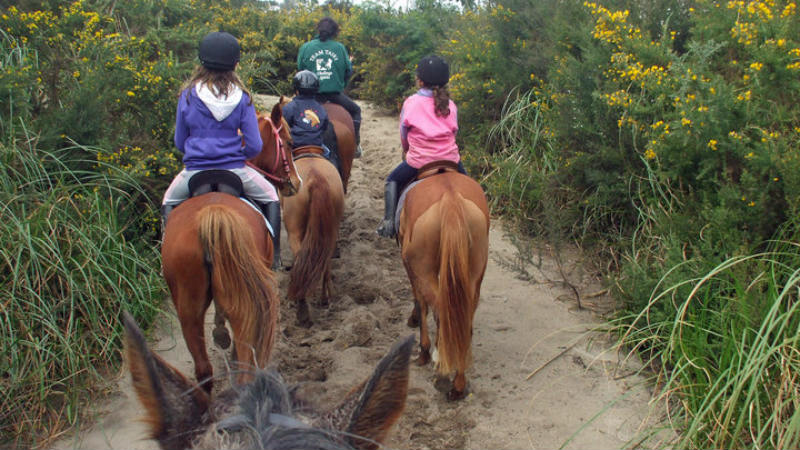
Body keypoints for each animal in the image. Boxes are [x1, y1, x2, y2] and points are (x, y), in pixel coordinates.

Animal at [161, 103, 302, 394]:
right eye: (289, 143)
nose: (296, 183)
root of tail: (212, 213)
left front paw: (219, 332)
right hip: (243, 303)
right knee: (244, 361)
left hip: (187, 306)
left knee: (204, 370)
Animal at [276, 102, 344, 326]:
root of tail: (316, 178)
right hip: (330, 227)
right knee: (324, 257)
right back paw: (324, 297)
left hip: (295, 230)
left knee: (301, 259)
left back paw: (302, 307)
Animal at [396, 167, 490, 400]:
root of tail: (451, 200)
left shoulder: (410, 265)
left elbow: (420, 302)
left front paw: (423, 349)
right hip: (474, 274)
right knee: (462, 319)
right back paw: (458, 384)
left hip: (422, 267)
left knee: (440, 310)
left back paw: (439, 368)